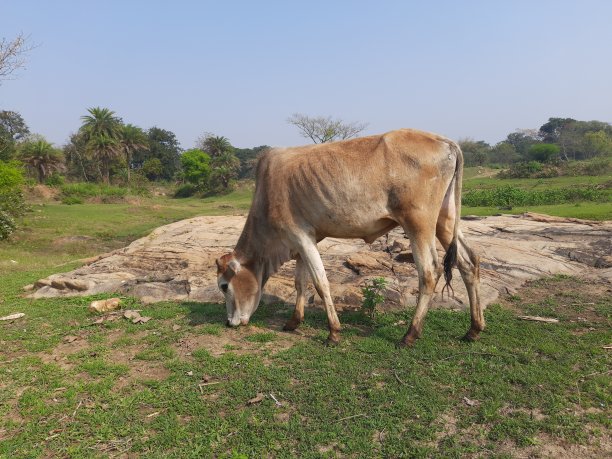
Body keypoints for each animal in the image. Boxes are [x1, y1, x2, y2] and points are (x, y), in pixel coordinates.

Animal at [218, 127, 486, 346]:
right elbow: (300, 282)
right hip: (444, 221)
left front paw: (333, 333)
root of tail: (445, 141)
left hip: (418, 223)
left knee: (429, 271)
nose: (229, 322)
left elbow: (320, 283)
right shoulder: (306, 240)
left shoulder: (299, 236)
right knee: (468, 261)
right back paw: (473, 329)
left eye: (223, 286)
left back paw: (410, 334)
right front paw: (293, 322)